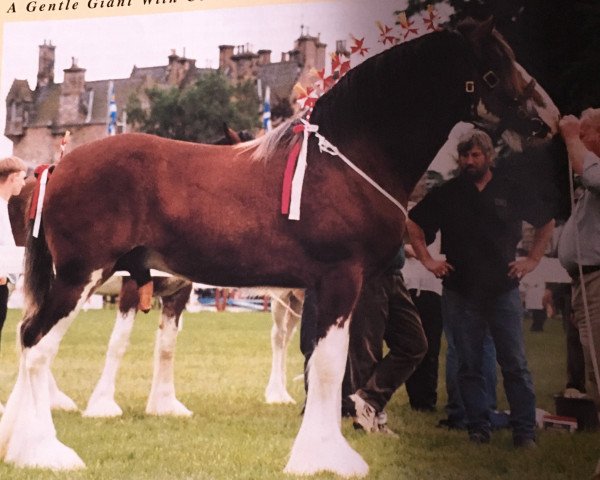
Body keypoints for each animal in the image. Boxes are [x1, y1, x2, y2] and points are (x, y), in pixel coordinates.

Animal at [0, 17, 556, 476]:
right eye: (495, 68)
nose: (546, 121)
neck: (347, 159)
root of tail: (56, 167)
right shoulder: (339, 279)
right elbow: (330, 365)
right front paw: (326, 459)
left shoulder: (323, 290)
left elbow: (323, 363)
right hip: (81, 277)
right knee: (36, 345)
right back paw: (45, 452)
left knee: (30, 340)